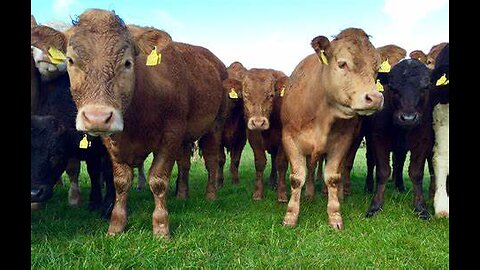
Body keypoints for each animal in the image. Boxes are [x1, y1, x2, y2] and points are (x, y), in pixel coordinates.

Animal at [222, 67, 288, 201]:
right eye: (246, 95)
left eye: (271, 95)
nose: (258, 122)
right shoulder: (254, 137)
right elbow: (260, 162)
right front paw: (257, 193)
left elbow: (281, 163)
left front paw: (282, 194)